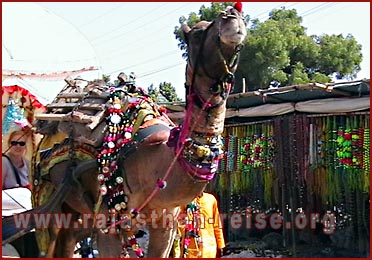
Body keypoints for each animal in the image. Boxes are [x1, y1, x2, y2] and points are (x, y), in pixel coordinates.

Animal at [3, 2, 247, 258]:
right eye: (198, 33)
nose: (232, 14)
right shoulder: (107, 219)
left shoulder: (166, 223)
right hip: (50, 201)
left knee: (68, 241)